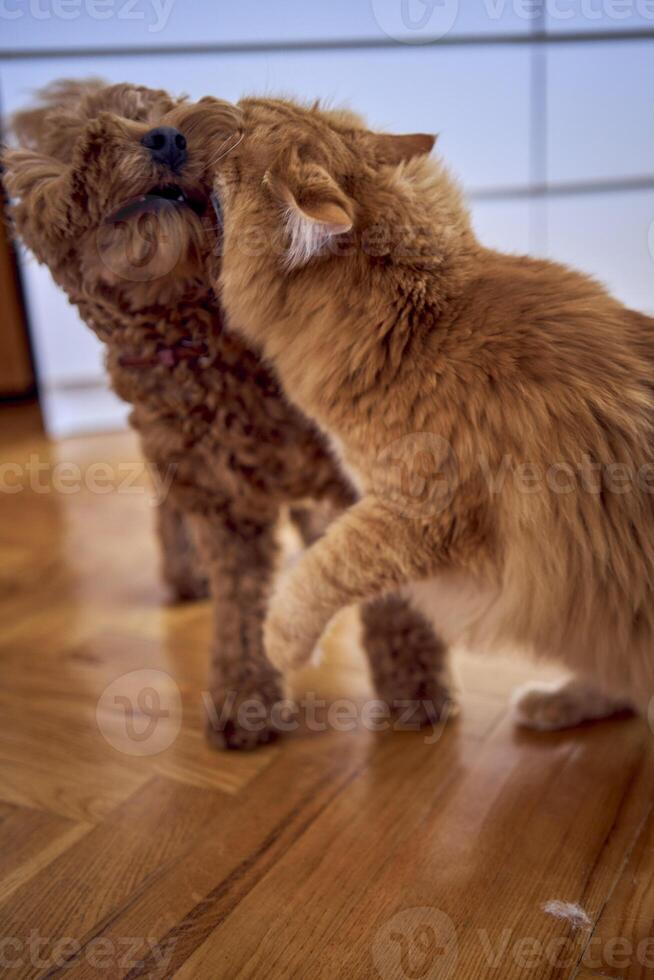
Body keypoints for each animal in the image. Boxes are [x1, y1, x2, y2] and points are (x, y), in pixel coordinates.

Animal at [2, 80, 454, 752]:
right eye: (84, 132)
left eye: (167, 109)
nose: (166, 137)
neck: (197, 340)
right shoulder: (222, 501)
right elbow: (240, 609)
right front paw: (245, 700)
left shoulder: (355, 476)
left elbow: (388, 588)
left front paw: (414, 684)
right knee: (172, 510)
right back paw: (188, 574)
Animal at [208, 97, 652, 728]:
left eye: (241, 131)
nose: (222, 105)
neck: (416, 320)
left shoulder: (414, 513)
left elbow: (318, 571)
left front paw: (281, 645)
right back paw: (552, 703)